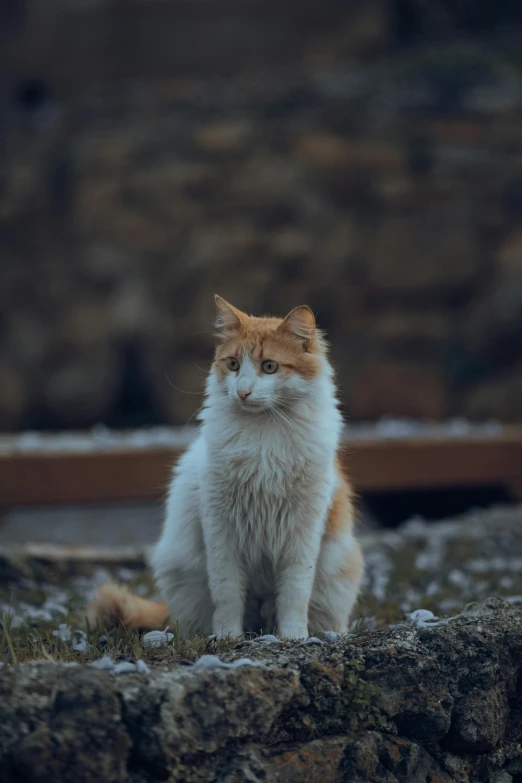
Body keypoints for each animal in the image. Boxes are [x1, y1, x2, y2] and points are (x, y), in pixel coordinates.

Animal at [86, 298, 362, 640]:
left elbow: (294, 592)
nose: (242, 391)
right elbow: (227, 592)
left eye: (269, 366)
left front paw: (293, 636)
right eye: (233, 364)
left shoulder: (303, 530)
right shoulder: (221, 526)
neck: (263, 439)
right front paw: (228, 636)